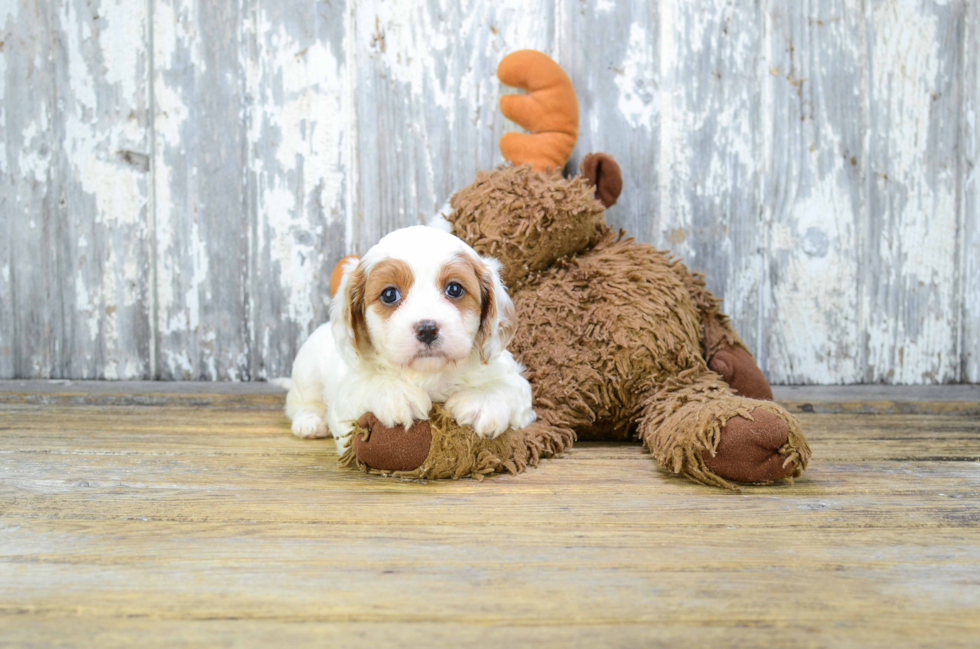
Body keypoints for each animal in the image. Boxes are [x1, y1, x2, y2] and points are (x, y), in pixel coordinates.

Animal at [284, 225, 536, 454]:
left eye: (454, 289)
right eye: (389, 294)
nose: (427, 329)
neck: (431, 374)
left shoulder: (511, 378)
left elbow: (508, 386)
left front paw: (480, 403)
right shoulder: (346, 401)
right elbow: (365, 384)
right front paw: (398, 395)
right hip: (306, 373)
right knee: (301, 402)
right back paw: (310, 422)